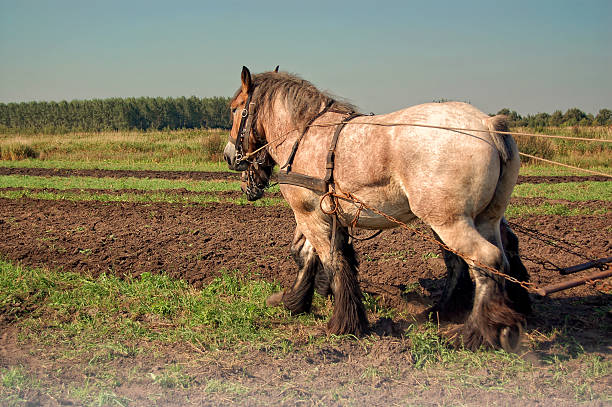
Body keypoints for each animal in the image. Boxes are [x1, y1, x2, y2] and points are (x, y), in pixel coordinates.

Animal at [225, 67, 532, 354]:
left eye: (235, 108)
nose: (229, 156)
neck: (303, 134)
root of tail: (487, 124)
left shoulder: (307, 212)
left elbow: (332, 261)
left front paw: (343, 323)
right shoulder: (320, 213)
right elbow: (307, 254)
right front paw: (295, 301)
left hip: (448, 220)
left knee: (485, 260)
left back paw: (476, 334)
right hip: (484, 218)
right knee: (492, 257)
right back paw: (464, 315)